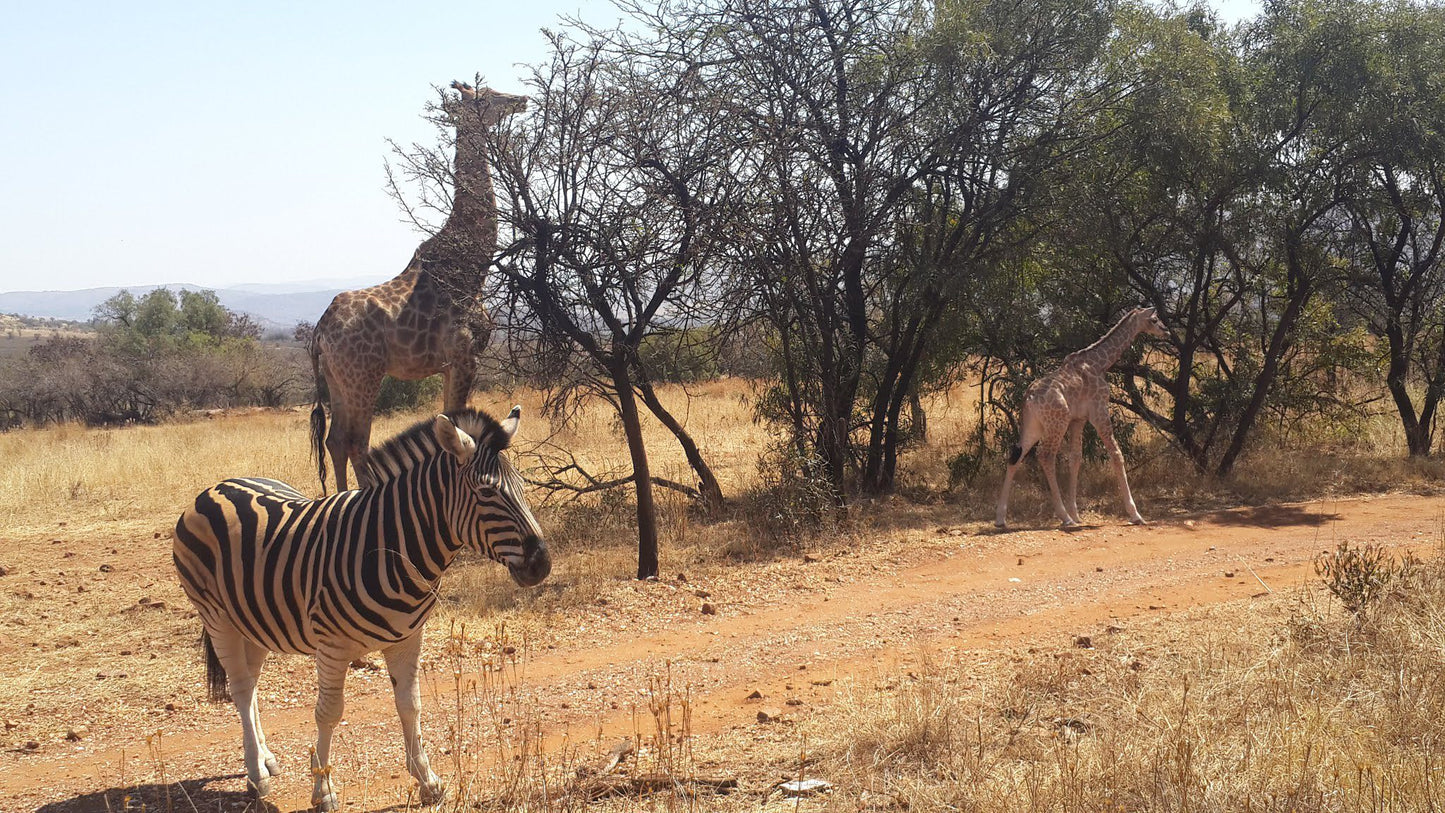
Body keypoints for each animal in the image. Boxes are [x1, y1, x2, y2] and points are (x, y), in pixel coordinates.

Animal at [170, 410, 551, 808]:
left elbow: (410, 705)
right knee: (242, 688)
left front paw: (428, 781)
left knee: (252, 682)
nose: (542, 564)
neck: (390, 545)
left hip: (254, 619)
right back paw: (256, 776)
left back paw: (266, 760)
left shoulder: (407, 638)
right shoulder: (332, 646)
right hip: (217, 617)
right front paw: (323, 789)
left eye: (522, 486)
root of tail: (216, 487)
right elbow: (328, 713)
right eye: (487, 492)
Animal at [309, 82, 525, 493]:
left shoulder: (447, 365)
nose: (521, 100)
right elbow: (455, 426)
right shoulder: (464, 356)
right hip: (364, 377)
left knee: (335, 441)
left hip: (337, 380)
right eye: (486, 96)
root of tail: (319, 332)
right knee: (356, 442)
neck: (474, 264)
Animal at [999, 309, 1167, 531]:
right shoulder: (1098, 411)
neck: (1099, 363)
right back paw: (1064, 517)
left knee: (1015, 456)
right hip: (1056, 423)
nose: (1166, 330)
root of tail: (1028, 397)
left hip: (1034, 426)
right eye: (1154, 319)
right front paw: (1135, 514)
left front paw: (1076, 513)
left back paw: (1000, 518)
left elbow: (1076, 458)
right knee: (1045, 455)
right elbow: (1116, 454)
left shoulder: (1078, 420)